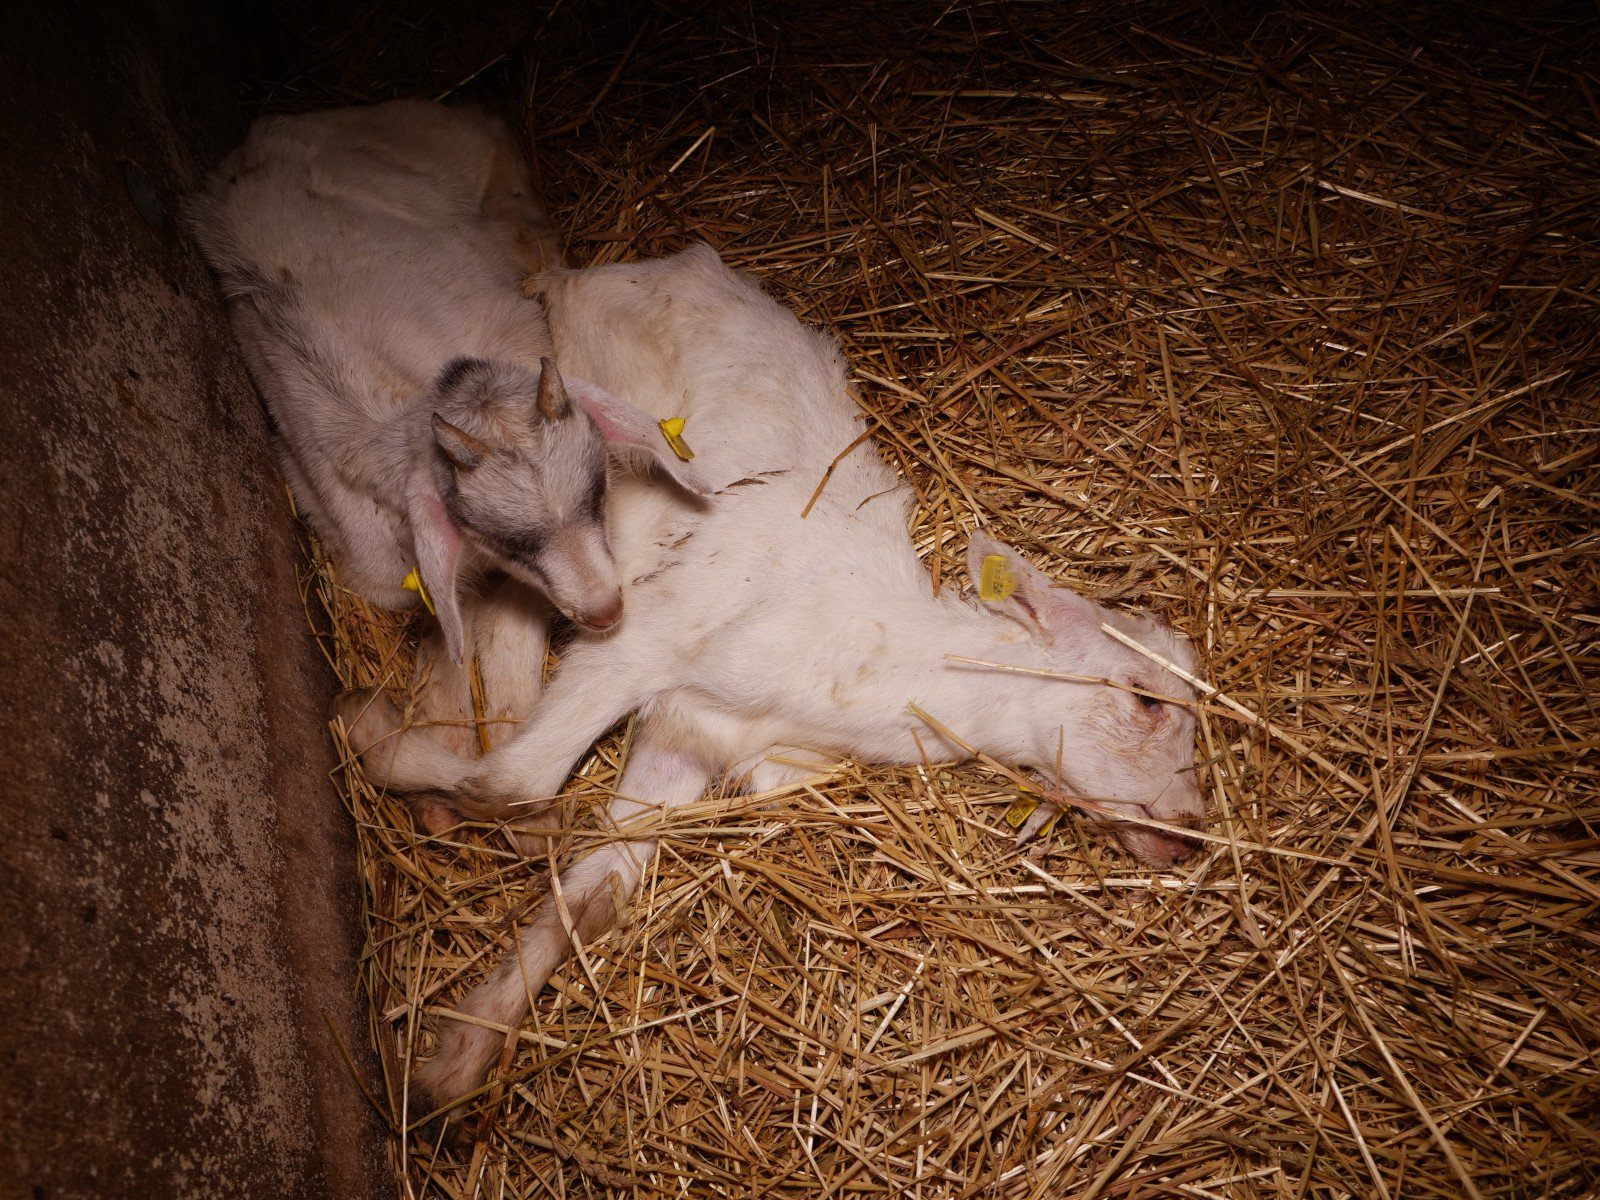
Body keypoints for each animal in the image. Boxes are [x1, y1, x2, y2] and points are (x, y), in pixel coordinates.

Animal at [347, 246, 1203, 1120]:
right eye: (1146, 697)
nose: (1190, 832)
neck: (861, 647)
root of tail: (615, 266)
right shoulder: (640, 643)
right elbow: (513, 781)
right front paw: (371, 731)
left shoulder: (691, 737)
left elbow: (588, 897)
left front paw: (457, 1056)